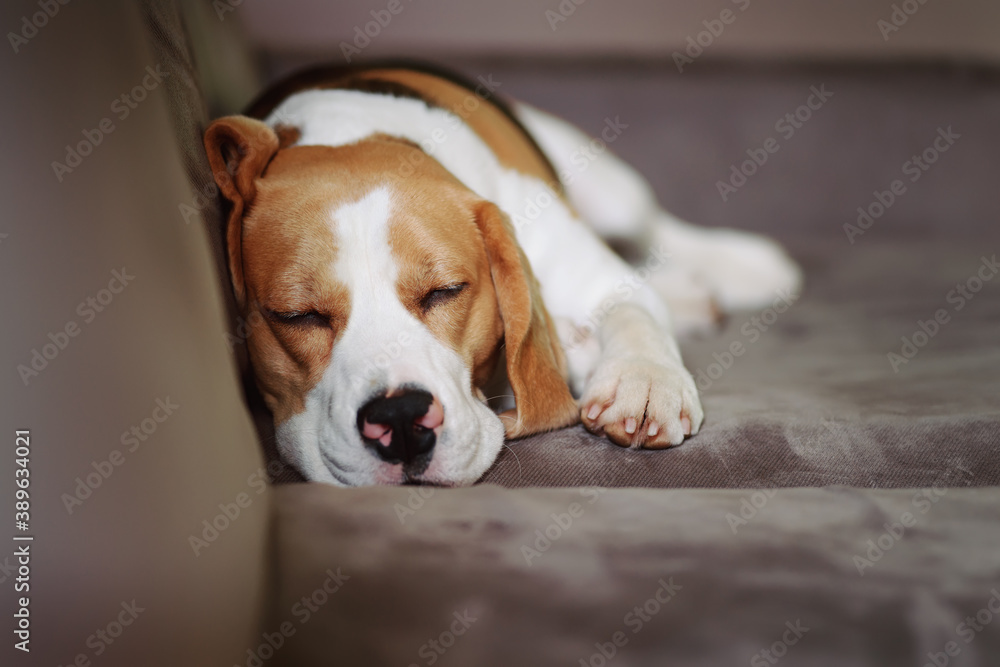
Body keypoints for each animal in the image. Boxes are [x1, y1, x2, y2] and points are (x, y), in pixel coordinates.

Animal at [205, 65, 804, 488]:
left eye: (446, 291)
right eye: (296, 315)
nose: (398, 418)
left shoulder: (597, 277)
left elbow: (633, 307)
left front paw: (645, 382)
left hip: (610, 187)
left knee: (657, 228)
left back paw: (742, 266)